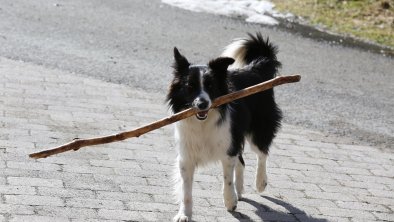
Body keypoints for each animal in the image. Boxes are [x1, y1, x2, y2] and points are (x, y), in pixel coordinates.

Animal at [166, 32, 284, 221]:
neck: (203, 123)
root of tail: (254, 68)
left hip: (258, 129)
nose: (202, 104)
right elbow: (186, 191)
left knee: (262, 153)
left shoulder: (228, 150)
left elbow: (227, 179)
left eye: (211, 85)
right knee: (242, 161)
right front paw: (184, 214)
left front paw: (230, 201)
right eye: (190, 86)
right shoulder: (186, 157)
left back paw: (260, 182)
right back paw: (240, 190)